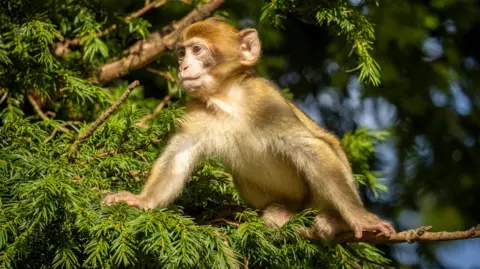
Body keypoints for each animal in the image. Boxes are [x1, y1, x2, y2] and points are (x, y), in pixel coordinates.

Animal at [103, 16, 396, 239]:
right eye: (181, 53)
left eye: (196, 50)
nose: (183, 66)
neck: (227, 99)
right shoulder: (196, 112)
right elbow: (179, 156)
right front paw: (141, 200)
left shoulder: (267, 102)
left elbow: (309, 146)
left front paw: (360, 218)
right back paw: (281, 213)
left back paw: (335, 220)